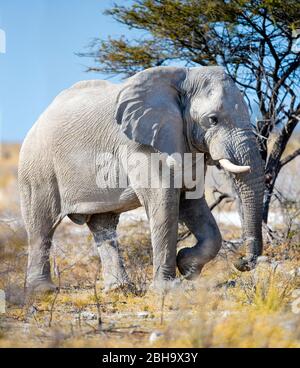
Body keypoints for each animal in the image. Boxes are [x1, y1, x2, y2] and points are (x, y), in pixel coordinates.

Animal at [17, 65, 264, 294]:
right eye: (212, 120)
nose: (241, 262)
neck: (183, 77)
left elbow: (192, 202)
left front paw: (186, 266)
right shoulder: (139, 146)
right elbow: (164, 201)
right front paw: (167, 288)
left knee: (103, 225)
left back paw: (119, 288)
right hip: (37, 168)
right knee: (42, 226)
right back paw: (42, 291)